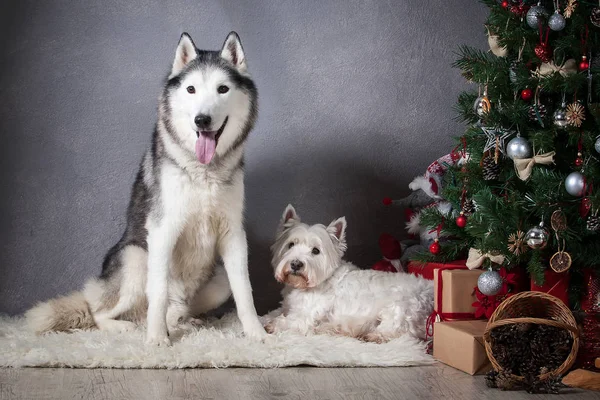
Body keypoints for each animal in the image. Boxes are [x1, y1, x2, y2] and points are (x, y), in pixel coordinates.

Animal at [25, 32, 264, 344]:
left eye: (222, 89)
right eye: (191, 89)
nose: (202, 119)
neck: (203, 170)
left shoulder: (233, 234)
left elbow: (245, 292)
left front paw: (256, 332)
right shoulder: (163, 231)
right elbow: (158, 294)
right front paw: (157, 339)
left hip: (217, 280)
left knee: (177, 307)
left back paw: (184, 320)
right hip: (137, 258)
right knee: (100, 311)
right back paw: (128, 327)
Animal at [266, 205, 432, 342]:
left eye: (315, 251)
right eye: (290, 245)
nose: (295, 264)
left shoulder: (306, 316)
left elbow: (289, 321)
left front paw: (271, 325)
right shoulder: (288, 307)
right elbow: (276, 312)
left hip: (400, 307)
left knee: (398, 330)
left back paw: (373, 335)